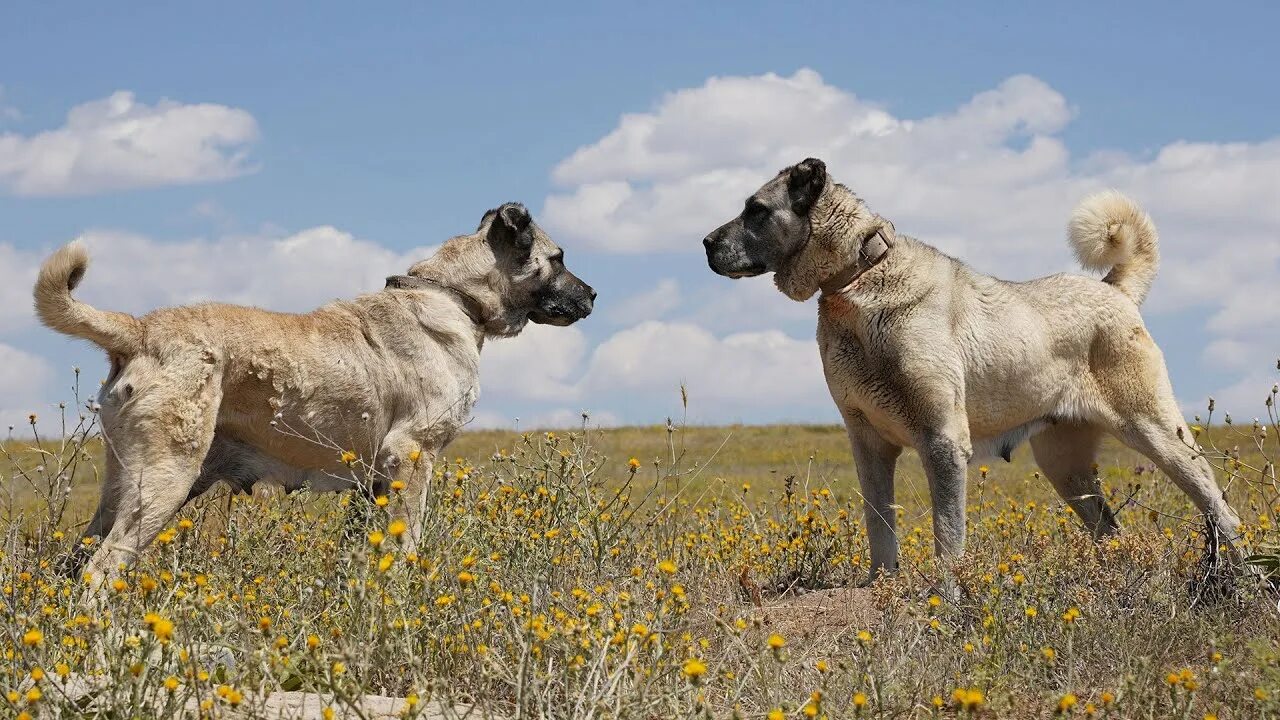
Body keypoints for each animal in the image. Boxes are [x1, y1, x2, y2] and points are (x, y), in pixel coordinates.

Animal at [35, 199, 593, 584]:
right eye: (558, 257)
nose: (593, 293)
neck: (454, 296)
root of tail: (141, 329)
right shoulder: (411, 455)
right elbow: (409, 540)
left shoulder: (375, 479)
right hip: (164, 480)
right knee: (102, 568)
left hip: (123, 486)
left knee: (75, 562)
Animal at [701, 158, 1239, 584]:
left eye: (756, 210)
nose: (705, 241)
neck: (858, 279)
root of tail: (1113, 290)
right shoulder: (868, 444)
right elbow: (880, 526)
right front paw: (882, 588)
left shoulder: (941, 440)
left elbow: (947, 536)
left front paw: (947, 597)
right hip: (1064, 464)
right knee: (1110, 529)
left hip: (1156, 434)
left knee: (1220, 509)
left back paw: (1233, 578)